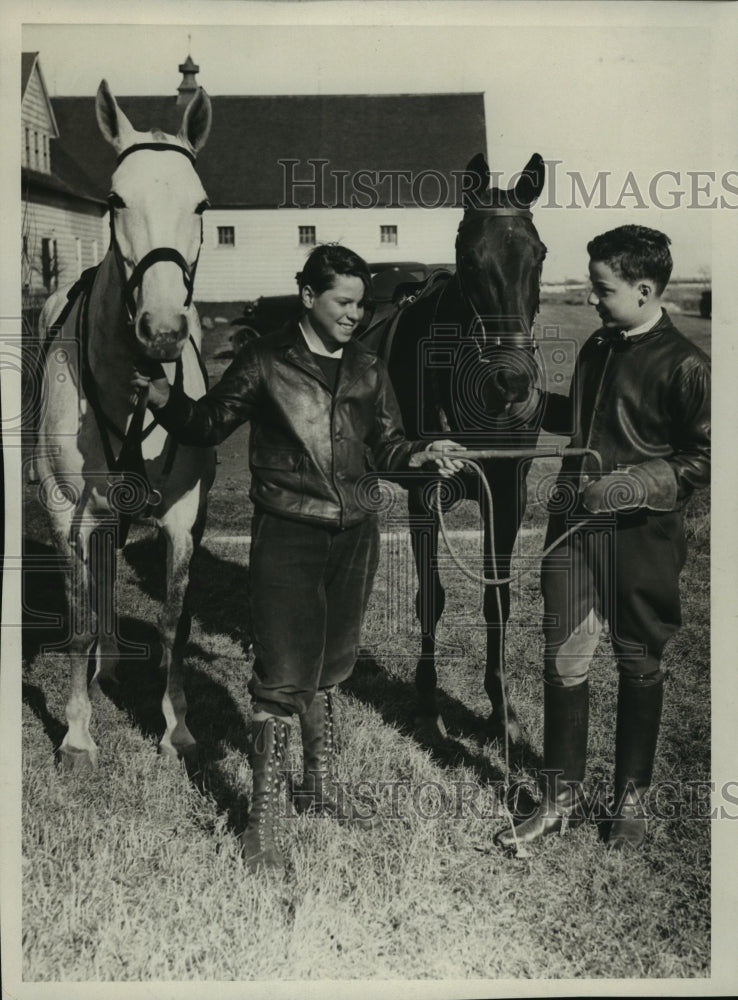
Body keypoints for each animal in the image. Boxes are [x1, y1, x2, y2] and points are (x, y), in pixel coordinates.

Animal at [35, 80, 216, 764]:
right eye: (115, 200)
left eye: (201, 204)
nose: (162, 329)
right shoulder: (65, 507)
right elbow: (80, 616)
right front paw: (77, 733)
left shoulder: (185, 512)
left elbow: (173, 620)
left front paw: (176, 726)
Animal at [360, 150, 544, 744]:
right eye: (468, 257)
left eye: (538, 255)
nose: (514, 380)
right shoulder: (425, 492)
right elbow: (432, 597)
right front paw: (426, 705)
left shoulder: (507, 493)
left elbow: (498, 596)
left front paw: (503, 711)